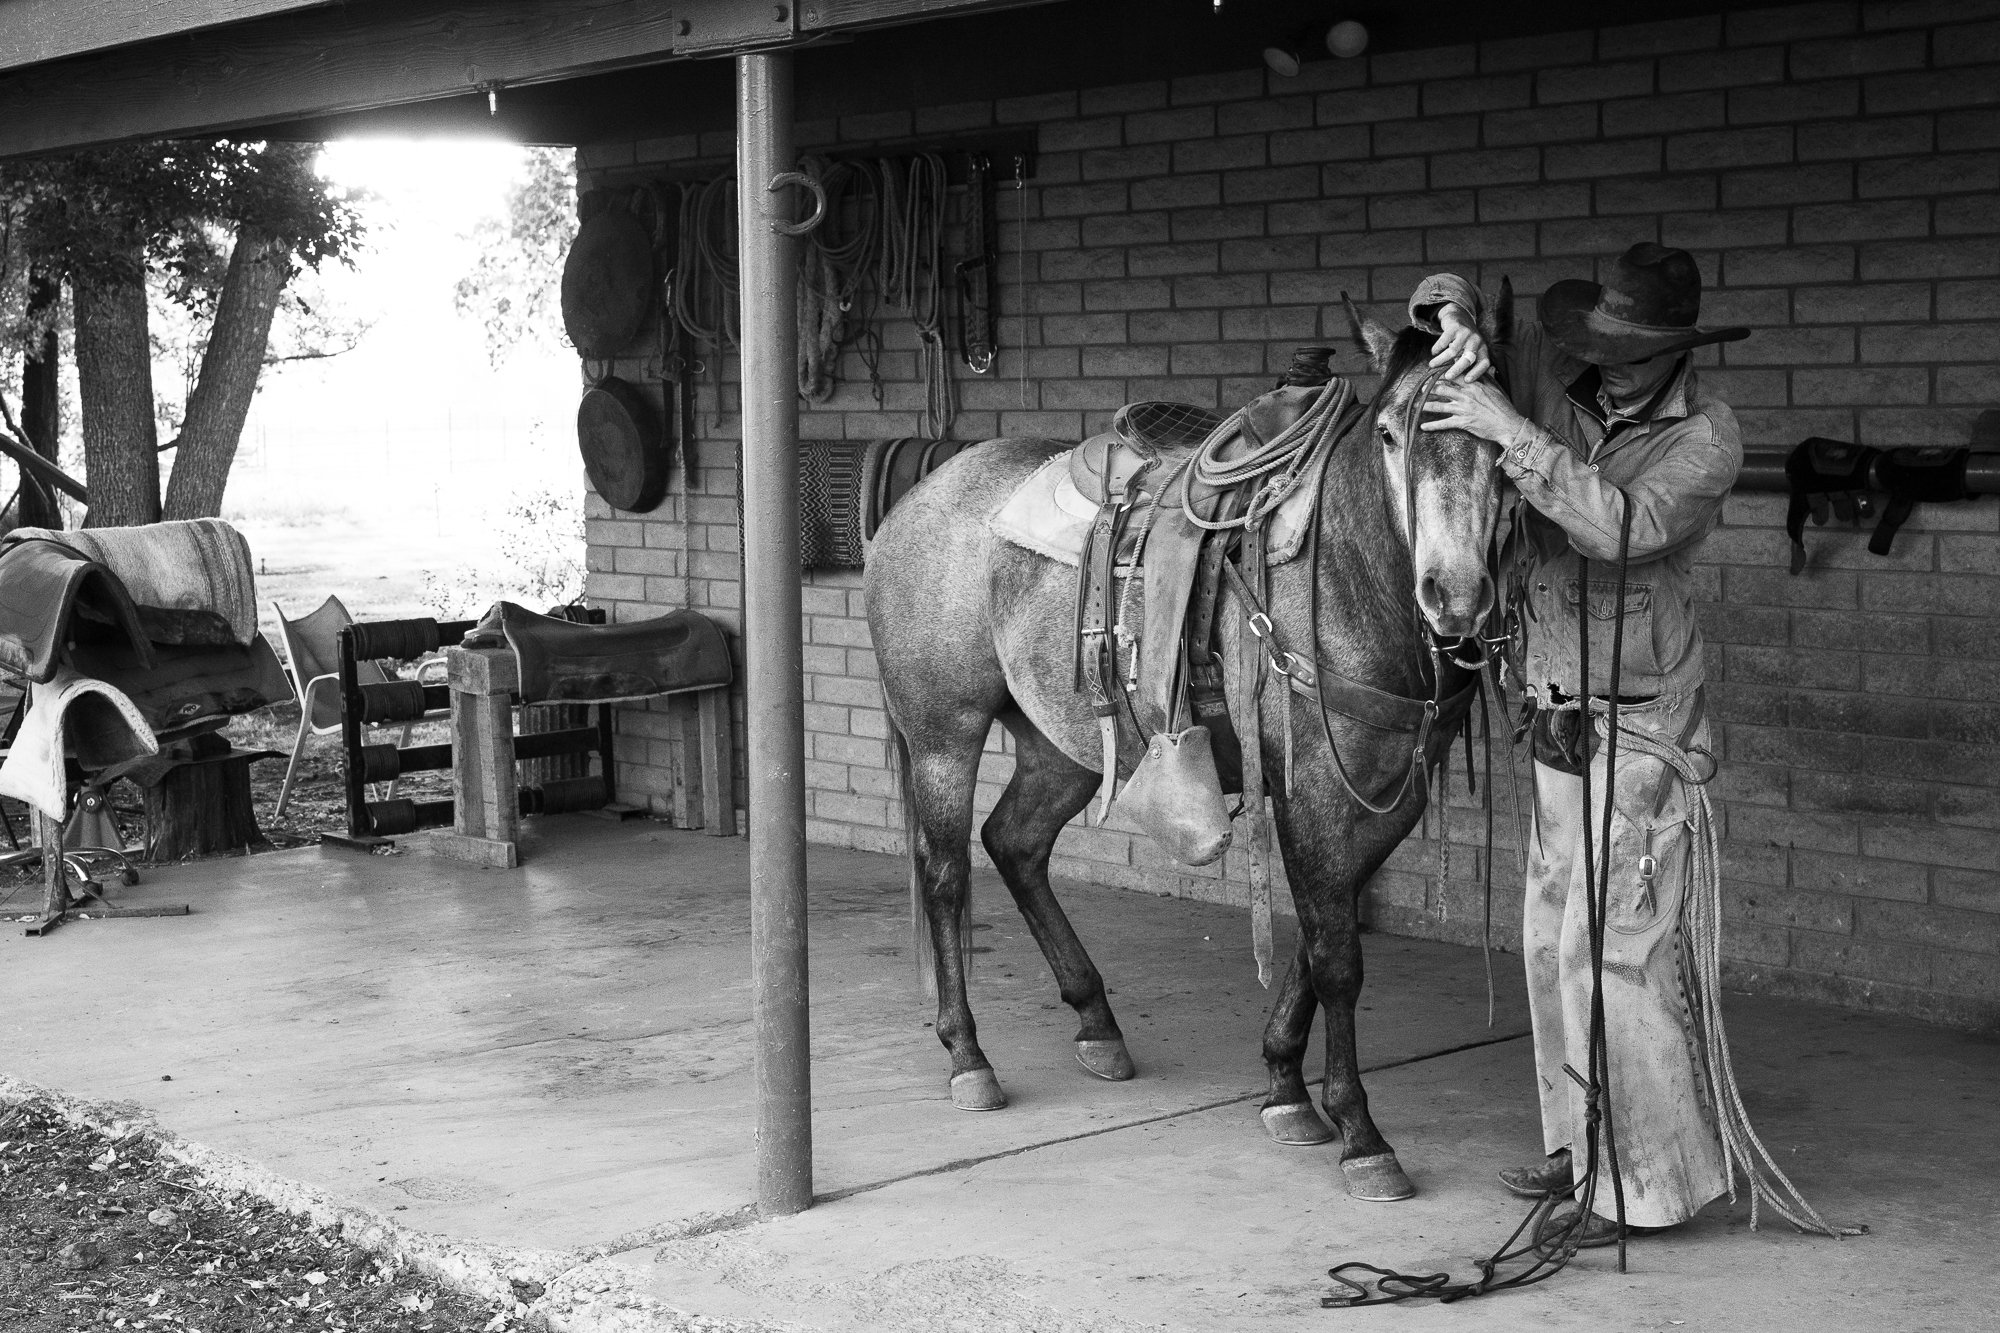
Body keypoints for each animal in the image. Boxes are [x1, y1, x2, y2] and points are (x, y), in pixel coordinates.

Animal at [863, 292, 1510, 1201]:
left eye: (1502, 438)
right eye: (1389, 432)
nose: (1454, 597)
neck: (1347, 572)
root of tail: (918, 498)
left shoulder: (1387, 798)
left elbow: (1321, 936)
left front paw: (1285, 1086)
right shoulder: (1312, 788)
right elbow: (1337, 957)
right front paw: (1360, 1133)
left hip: (1060, 744)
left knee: (1015, 842)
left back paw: (1097, 1023)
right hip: (941, 735)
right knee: (947, 873)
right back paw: (969, 1056)